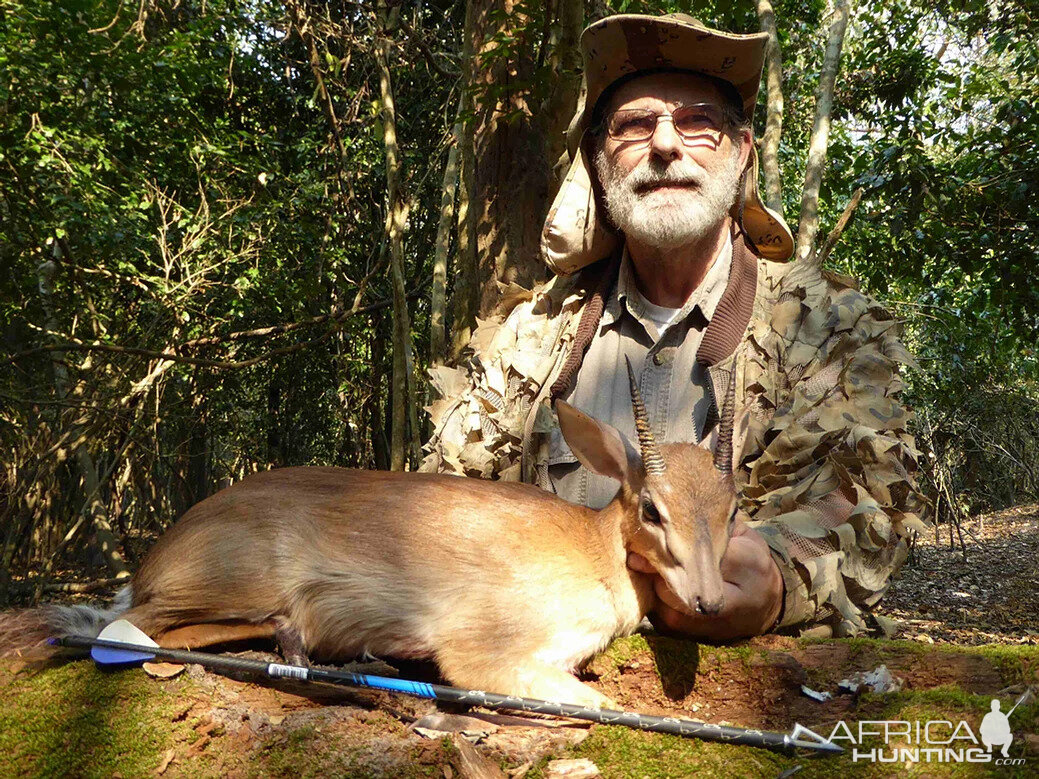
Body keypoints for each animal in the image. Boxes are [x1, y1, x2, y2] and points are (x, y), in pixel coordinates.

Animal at [10, 365, 739, 706]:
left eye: (732, 510)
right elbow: (590, 697)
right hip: (225, 584)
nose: (709, 600)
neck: (592, 551)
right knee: (125, 631)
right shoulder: (480, 648)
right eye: (652, 509)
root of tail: (155, 560)